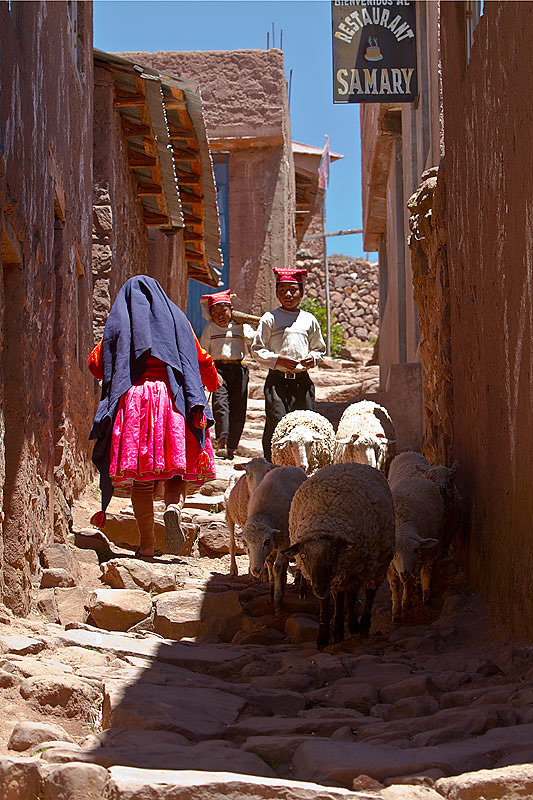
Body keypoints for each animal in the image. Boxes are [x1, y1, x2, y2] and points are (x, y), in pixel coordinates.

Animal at [239, 466, 306, 608]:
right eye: (245, 544)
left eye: (266, 542)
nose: (256, 570)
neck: (262, 513)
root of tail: (291, 467)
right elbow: (270, 564)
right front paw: (271, 591)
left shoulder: (285, 542)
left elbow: (277, 567)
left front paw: (277, 597)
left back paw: (302, 589)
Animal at [282, 462, 394, 648]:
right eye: (303, 555)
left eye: (334, 552)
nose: (320, 588)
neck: (323, 520)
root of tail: (352, 463)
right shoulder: (327, 578)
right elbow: (326, 603)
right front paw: (324, 637)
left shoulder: (356, 568)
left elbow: (351, 598)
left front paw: (352, 626)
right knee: (342, 596)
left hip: (378, 562)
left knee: (369, 592)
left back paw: (363, 626)